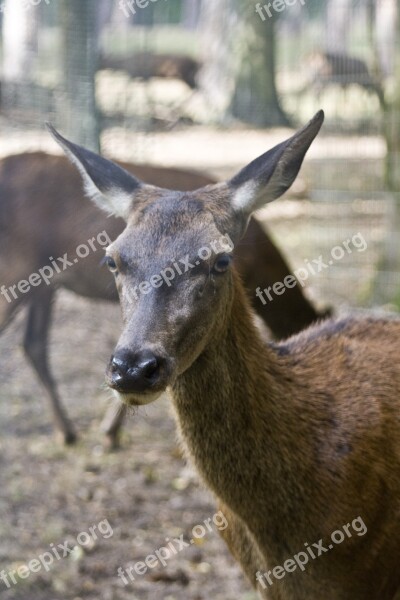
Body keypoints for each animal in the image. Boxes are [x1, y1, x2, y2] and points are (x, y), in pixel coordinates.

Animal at [0, 152, 328, 448]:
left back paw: (66, 432)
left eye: (222, 261)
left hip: (42, 286)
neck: (259, 265)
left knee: (33, 344)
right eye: (110, 261)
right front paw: (110, 431)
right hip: (15, 269)